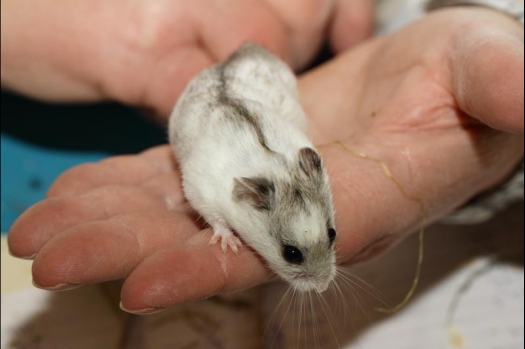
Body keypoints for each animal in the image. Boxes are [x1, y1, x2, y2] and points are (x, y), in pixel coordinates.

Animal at [170, 44, 338, 294]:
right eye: (291, 253)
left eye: (332, 234)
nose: (323, 287)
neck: (273, 169)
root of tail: (246, 47)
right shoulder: (201, 193)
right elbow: (216, 220)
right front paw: (230, 246)